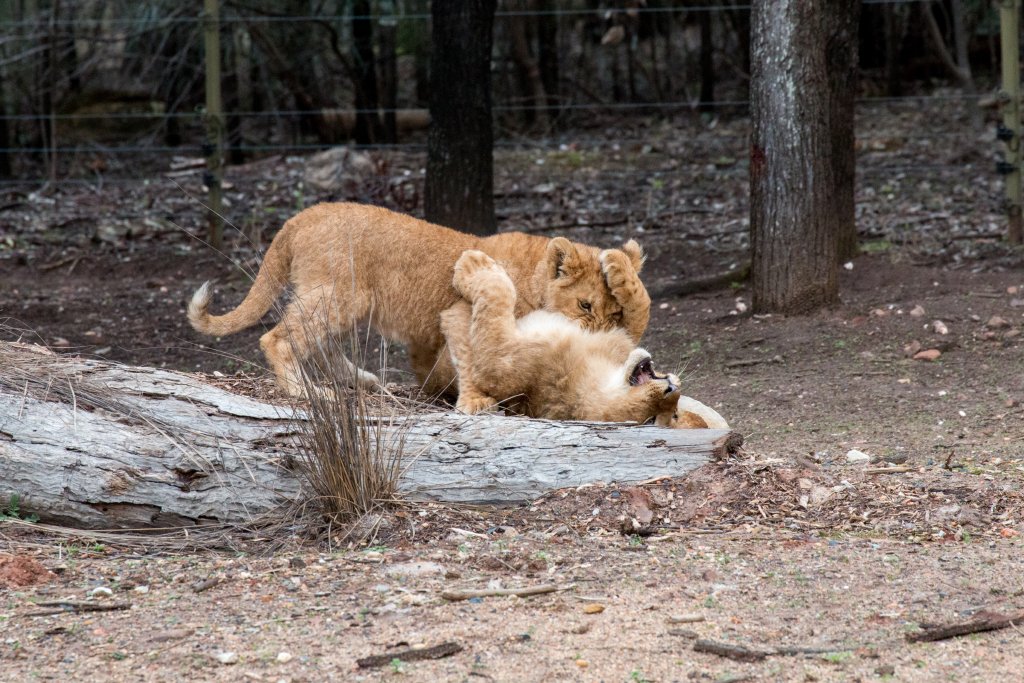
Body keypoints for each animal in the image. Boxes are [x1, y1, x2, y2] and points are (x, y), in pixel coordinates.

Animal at [187, 202, 650, 398]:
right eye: (585, 306)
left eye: (613, 312)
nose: (600, 338)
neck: (533, 275)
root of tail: (299, 218)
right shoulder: (464, 314)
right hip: (339, 295)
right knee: (279, 338)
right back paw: (306, 393)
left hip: (339, 300)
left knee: (318, 342)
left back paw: (360, 380)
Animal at [441, 250, 724, 428]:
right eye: (674, 413)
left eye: (654, 419)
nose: (672, 389)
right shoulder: (616, 332)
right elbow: (639, 305)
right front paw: (616, 264)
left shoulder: (500, 363)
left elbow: (497, 295)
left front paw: (472, 263)